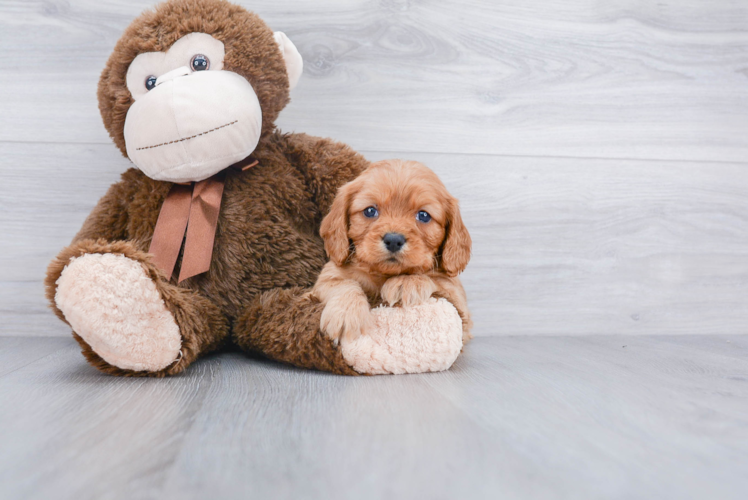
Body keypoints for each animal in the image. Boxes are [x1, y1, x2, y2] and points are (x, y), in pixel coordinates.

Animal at [312, 159, 474, 344]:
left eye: (424, 215)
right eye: (370, 211)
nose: (394, 240)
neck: (383, 275)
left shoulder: (459, 304)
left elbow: (437, 279)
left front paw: (407, 282)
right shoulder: (328, 276)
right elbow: (344, 283)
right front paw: (346, 313)